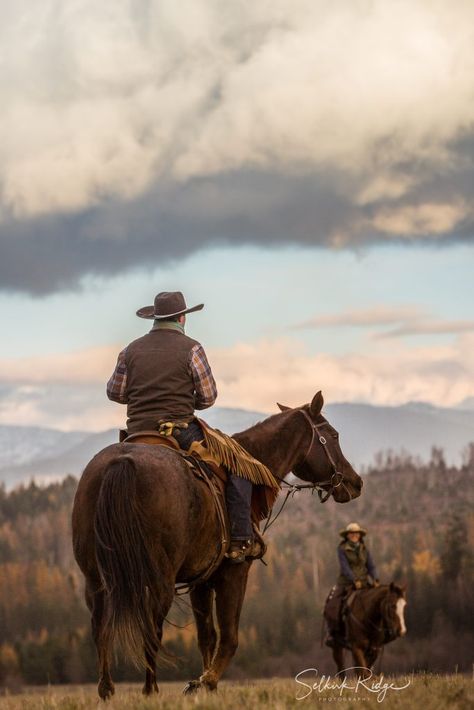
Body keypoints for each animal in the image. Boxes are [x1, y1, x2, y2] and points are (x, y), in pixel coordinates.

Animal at [70, 394, 362, 700]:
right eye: (333, 435)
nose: (355, 482)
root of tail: (121, 462)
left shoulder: (200, 580)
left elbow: (206, 636)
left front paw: (201, 684)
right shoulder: (234, 571)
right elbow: (230, 637)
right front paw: (207, 681)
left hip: (96, 578)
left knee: (101, 626)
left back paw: (107, 689)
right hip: (158, 578)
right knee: (151, 627)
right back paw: (151, 689)